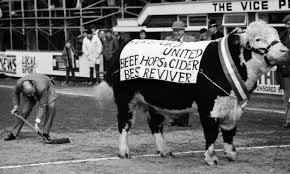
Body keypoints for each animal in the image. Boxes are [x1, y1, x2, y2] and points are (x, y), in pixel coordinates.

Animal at [103, 21, 288, 165]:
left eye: (277, 36)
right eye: (258, 39)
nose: (284, 51)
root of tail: (126, 44)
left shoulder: (233, 106)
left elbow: (229, 131)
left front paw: (231, 154)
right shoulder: (208, 107)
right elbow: (211, 132)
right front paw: (210, 158)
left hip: (153, 102)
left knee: (155, 124)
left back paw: (165, 151)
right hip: (125, 99)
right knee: (124, 123)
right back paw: (124, 152)